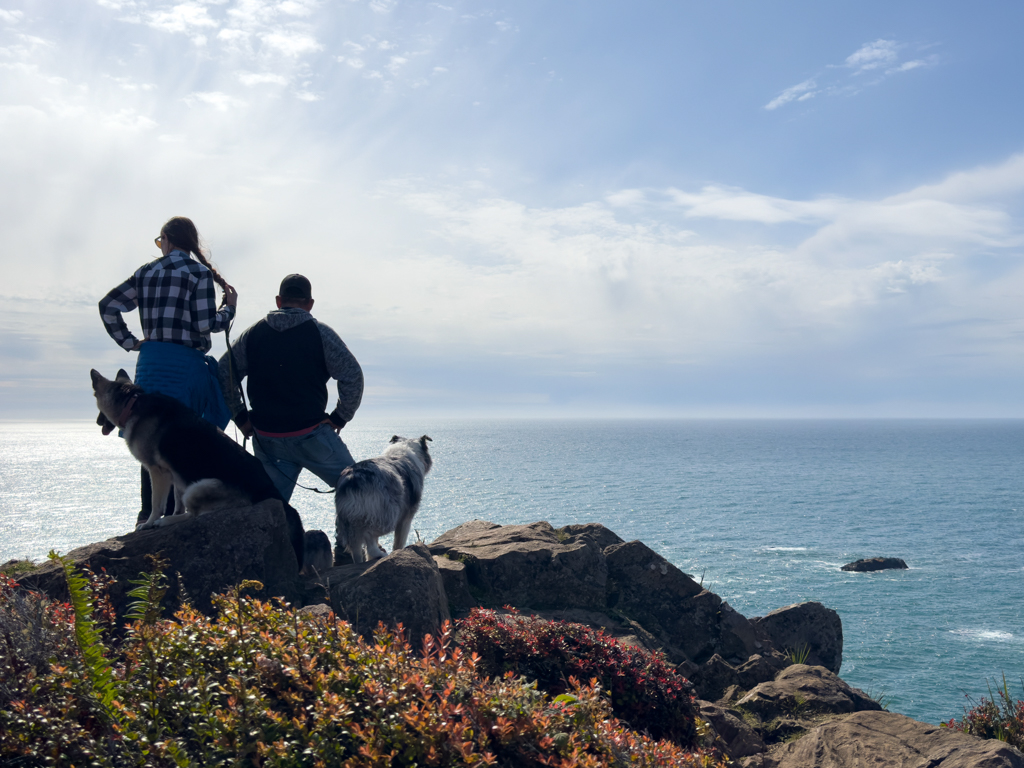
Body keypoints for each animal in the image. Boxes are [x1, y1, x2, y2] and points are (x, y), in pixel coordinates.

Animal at [92, 366, 303, 573]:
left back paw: (165, 522)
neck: (131, 402)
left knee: (194, 516)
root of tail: (271, 492)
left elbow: (156, 504)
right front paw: (172, 514)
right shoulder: (175, 474)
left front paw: (150, 523)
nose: (96, 422)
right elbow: (176, 502)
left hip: (197, 488)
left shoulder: (157, 472)